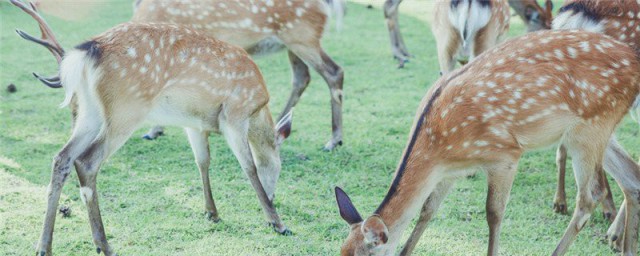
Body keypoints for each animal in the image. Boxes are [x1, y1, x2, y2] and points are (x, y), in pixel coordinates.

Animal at [9, 1, 296, 255]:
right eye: (279, 166)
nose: (273, 196)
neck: (258, 108)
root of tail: (86, 53)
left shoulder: (194, 123)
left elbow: (202, 161)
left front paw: (212, 212)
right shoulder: (234, 115)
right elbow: (248, 166)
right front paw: (277, 223)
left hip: (89, 112)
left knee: (62, 157)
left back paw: (43, 246)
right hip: (126, 109)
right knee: (87, 161)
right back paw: (104, 245)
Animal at [131, 0, 348, 151]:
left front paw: (154, 130)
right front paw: (157, 130)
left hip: (303, 36)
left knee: (334, 72)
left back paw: (333, 140)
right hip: (294, 43)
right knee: (302, 77)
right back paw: (279, 123)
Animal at [332, 29, 640, 255]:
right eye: (340, 251)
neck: (438, 147)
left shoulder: (505, 155)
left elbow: (493, 213)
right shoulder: (449, 171)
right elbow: (427, 210)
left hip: (591, 126)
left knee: (590, 197)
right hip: (596, 128)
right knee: (631, 177)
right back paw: (624, 248)